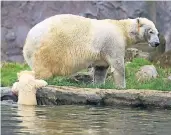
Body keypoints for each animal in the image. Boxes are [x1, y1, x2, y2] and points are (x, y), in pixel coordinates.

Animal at [23, 13, 160, 87]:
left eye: (157, 33)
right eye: (151, 31)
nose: (157, 43)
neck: (122, 29)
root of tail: (28, 37)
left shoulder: (102, 52)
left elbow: (101, 68)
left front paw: (99, 84)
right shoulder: (113, 42)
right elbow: (118, 64)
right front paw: (121, 86)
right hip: (47, 48)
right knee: (43, 68)